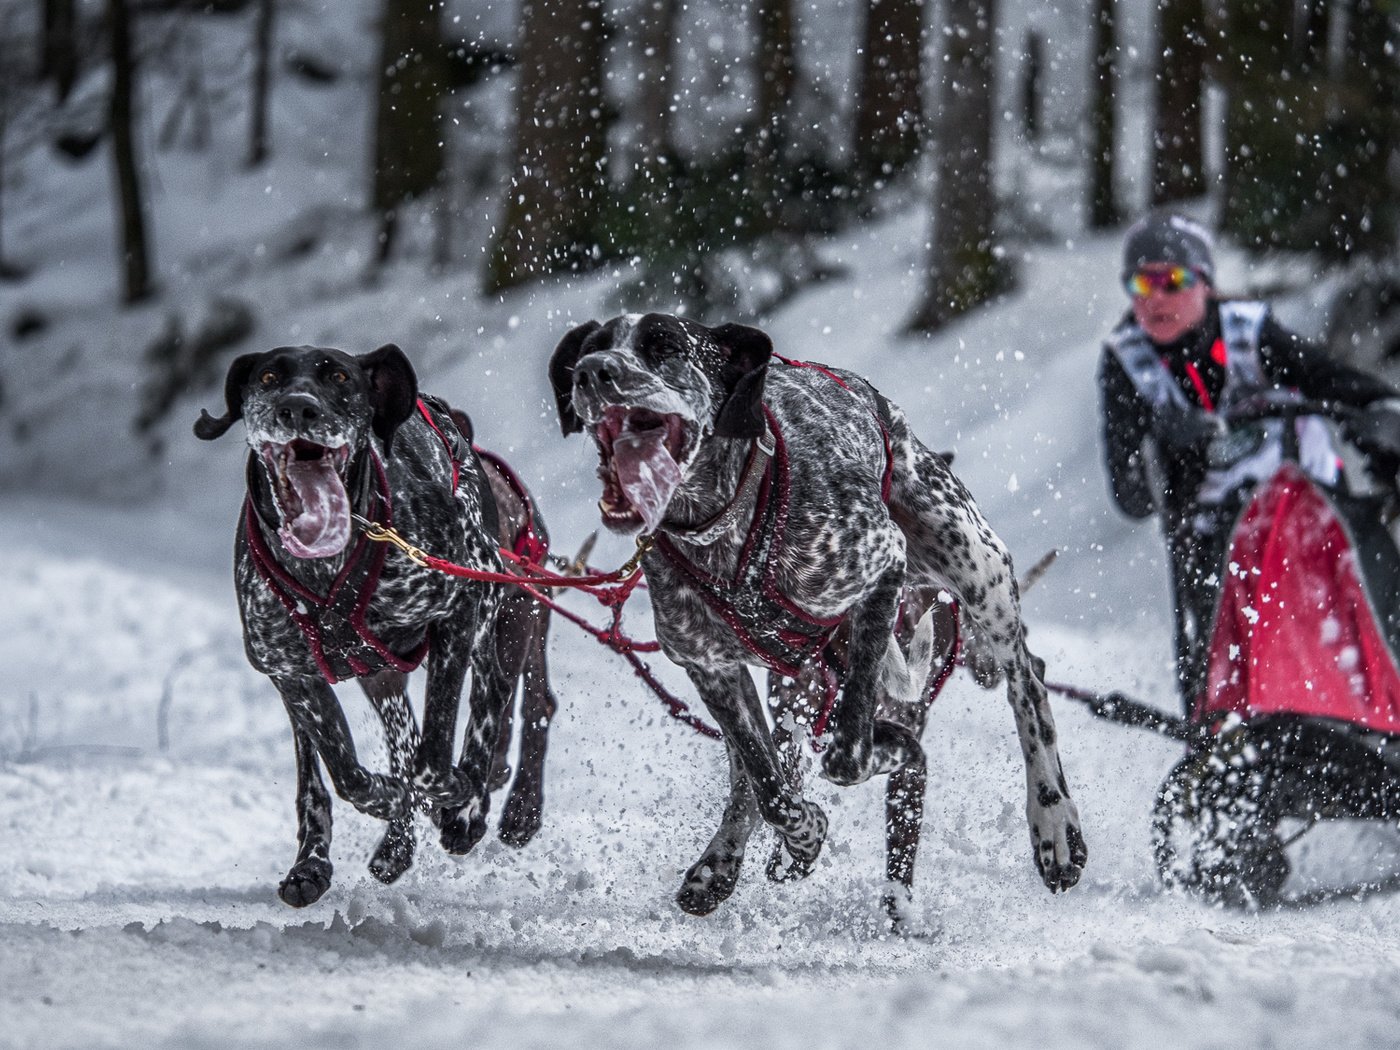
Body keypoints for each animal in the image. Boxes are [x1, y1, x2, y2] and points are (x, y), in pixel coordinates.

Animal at [194, 345, 554, 907]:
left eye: (341, 377)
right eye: (269, 376)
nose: (298, 408)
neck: (326, 568)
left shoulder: (455, 616)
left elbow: (434, 759)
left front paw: (454, 800)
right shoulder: (290, 673)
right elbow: (340, 773)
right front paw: (350, 832)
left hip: (501, 619)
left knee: (503, 705)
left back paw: (484, 808)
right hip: (381, 677)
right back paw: (394, 840)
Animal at [551, 315, 1086, 918]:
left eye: (664, 345)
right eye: (591, 349)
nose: (593, 371)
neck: (724, 530)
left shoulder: (882, 566)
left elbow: (847, 755)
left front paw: (881, 757)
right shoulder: (711, 667)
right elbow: (768, 784)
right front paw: (802, 836)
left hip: (976, 568)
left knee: (1029, 683)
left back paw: (1054, 822)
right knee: (751, 772)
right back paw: (723, 860)